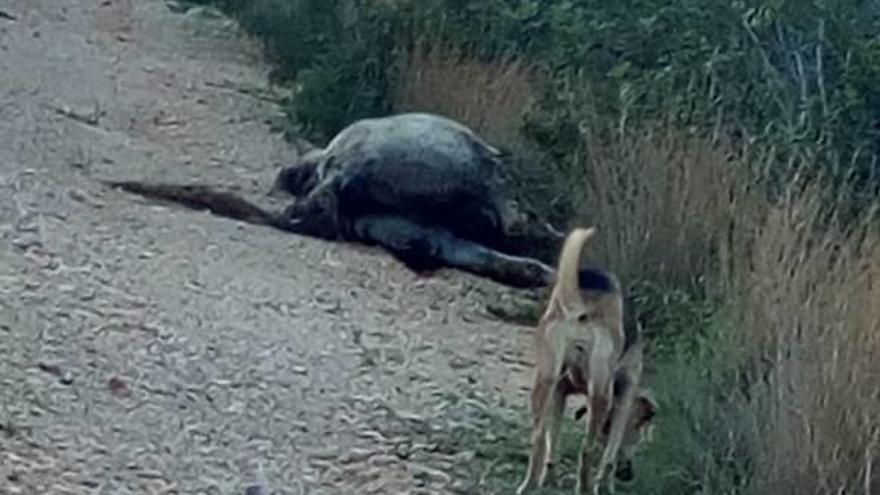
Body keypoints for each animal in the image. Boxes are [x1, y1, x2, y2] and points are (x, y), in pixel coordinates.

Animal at [520, 229, 656, 495]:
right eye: (637, 431)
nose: (628, 474)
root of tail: (582, 303)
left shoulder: (558, 392)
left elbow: (552, 442)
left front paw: (548, 479)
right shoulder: (624, 399)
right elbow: (609, 456)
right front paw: (605, 485)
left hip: (544, 379)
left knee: (539, 438)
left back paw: (528, 486)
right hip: (601, 393)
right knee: (587, 449)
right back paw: (584, 488)